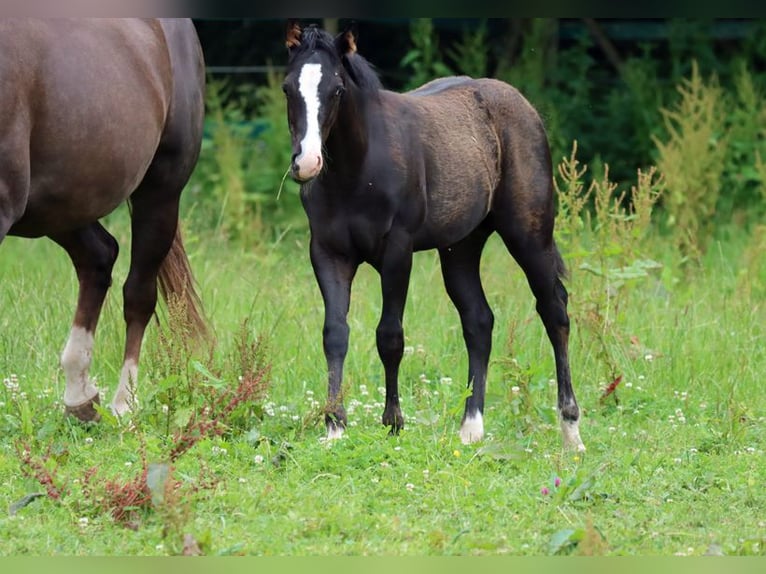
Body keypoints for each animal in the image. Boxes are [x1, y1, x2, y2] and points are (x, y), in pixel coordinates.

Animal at [0, 19, 208, 422]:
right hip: (62, 206)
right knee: (99, 256)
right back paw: (80, 396)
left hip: (160, 190)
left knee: (138, 293)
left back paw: (124, 403)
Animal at [282, 20, 585, 451]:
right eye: (288, 89)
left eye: (337, 89)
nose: (306, 163)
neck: (357, 172)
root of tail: (524, 106)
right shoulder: (327, 253)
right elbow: (335, 333)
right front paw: (335, 427)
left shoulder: (398, 251)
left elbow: (390, 336)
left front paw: (393, 422)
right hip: (460, 246)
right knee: (479, 320)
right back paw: (471, 428)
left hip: (530, 234)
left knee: (554, 311)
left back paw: (571, 432)